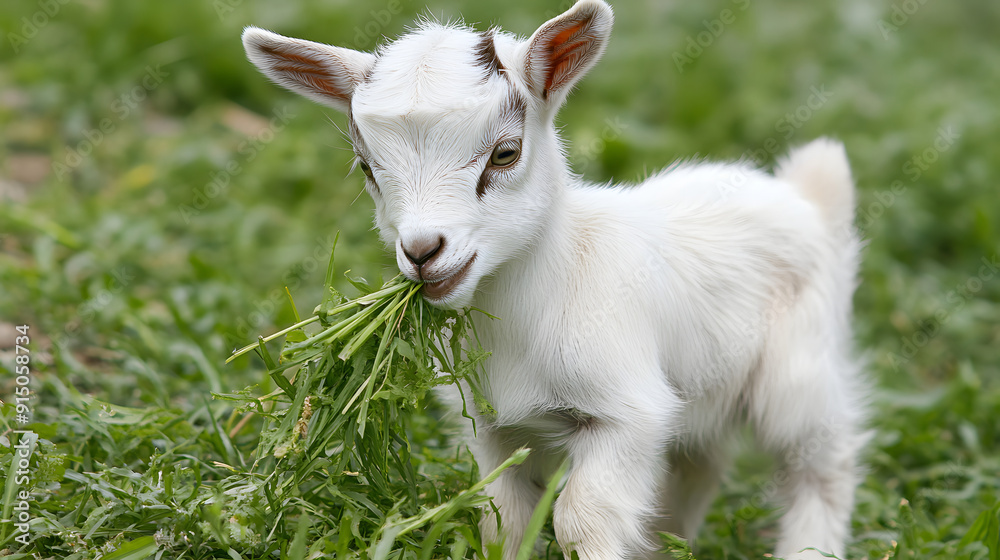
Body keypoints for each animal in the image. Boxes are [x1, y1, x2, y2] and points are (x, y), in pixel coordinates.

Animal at [242, 1, 867, 558]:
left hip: (798, 372)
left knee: (821, 464)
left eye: (505, 152)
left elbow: (579, 521)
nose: (422, 252)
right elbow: (504, 520)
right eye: (367, 168)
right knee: (700, 462)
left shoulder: (628, 415)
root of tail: (810, 199)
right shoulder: (495, 427)